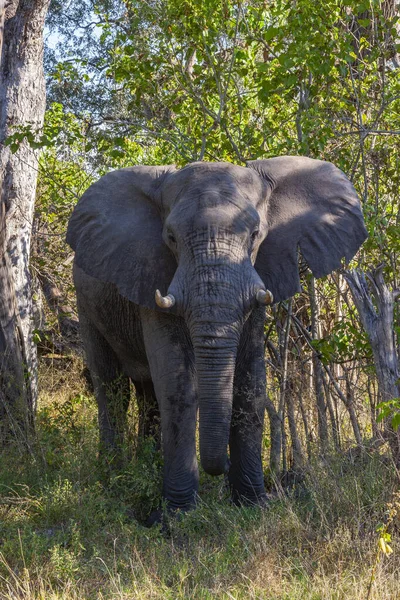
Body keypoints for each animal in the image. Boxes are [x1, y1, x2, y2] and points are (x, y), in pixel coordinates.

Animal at [66, 158, 368, 516]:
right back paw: (113, 480)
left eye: (255, 235)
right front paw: (178, 514)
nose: (219, 466)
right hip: (86, 302)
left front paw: (252, 504)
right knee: (111, 387)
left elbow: (250, 382)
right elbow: (178, 385)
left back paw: (146, 470)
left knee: (147, 395)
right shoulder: (153, 272)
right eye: (170, 237)